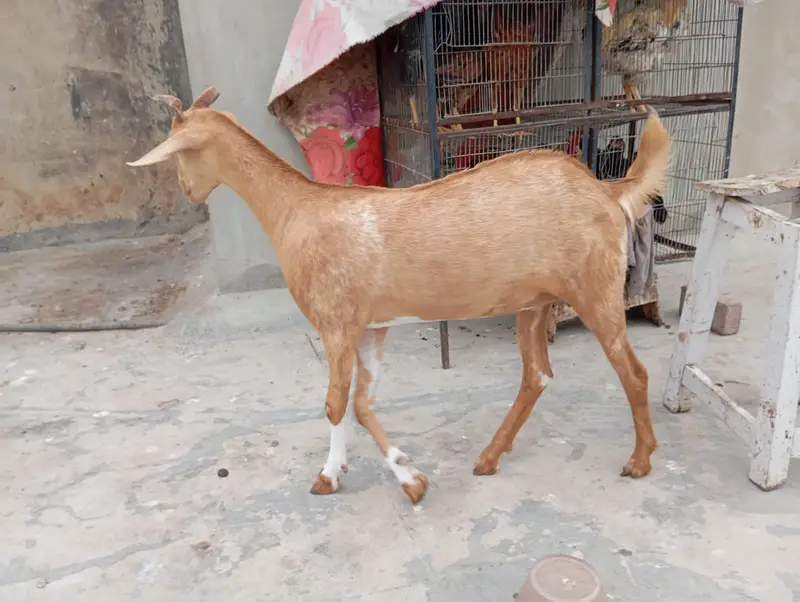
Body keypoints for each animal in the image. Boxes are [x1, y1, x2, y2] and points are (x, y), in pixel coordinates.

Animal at [128, 87, 670, 505]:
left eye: (178, 151)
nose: (187, 190)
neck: (297, 210)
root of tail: (606, 191)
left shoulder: (335, 324)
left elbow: (334, 404)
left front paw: (335, 477)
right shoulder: (371, 327)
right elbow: (361, 405)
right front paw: (406, 475)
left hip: (595, 289)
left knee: (634, 372)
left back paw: (639, 461)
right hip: (533, 302)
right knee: (536, 376)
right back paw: (489, 457)